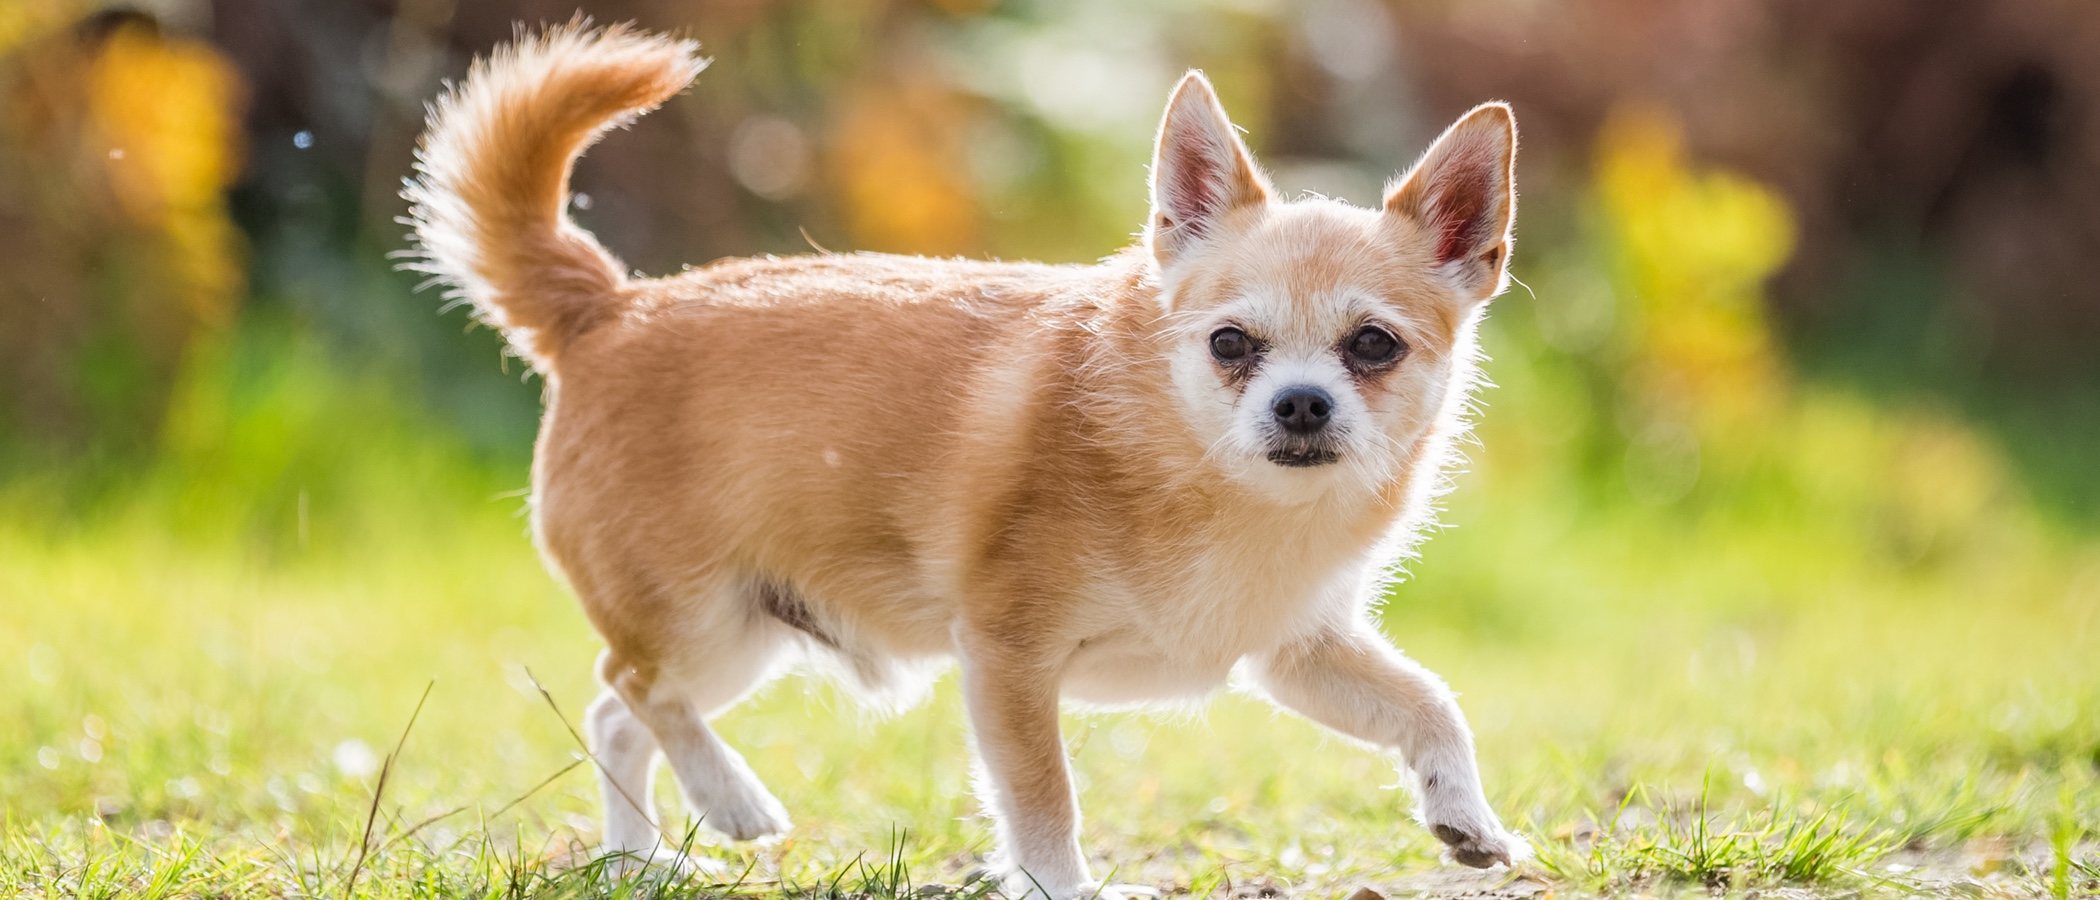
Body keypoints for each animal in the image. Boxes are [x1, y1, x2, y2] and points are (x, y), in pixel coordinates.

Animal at [405, 22, 1528, 897]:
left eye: (1373, 346)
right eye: (1229, 344)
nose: (1301, 403)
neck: (1209, 482)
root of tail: (607, 304)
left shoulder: (1293, 652)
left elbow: (1430, 702)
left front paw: (1466, 816)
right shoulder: (1006, 660)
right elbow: (1043, 799)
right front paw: (1065, 890)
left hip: (744, 637)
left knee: (613, 714)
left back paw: (640, 860)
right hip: (699, 619)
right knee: (633, 687)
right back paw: (730, 800)